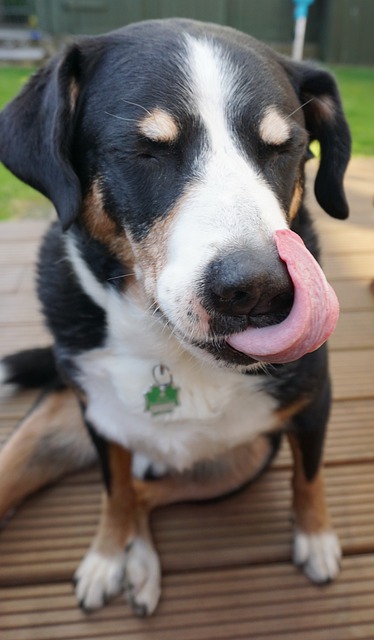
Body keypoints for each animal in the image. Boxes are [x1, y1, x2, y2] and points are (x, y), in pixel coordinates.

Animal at [0, 18, 350, 616]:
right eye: (147, 150)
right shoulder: (101, 422)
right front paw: (107, 553)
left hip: (242, 459)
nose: (259, 289)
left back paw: (140, 564)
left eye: (284, 149)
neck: (169, 353)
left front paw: (316, 538)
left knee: (148, 491)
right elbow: (114, 492)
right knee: (125, 486)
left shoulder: (313, 401)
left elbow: (310, 475)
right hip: (46, 430)